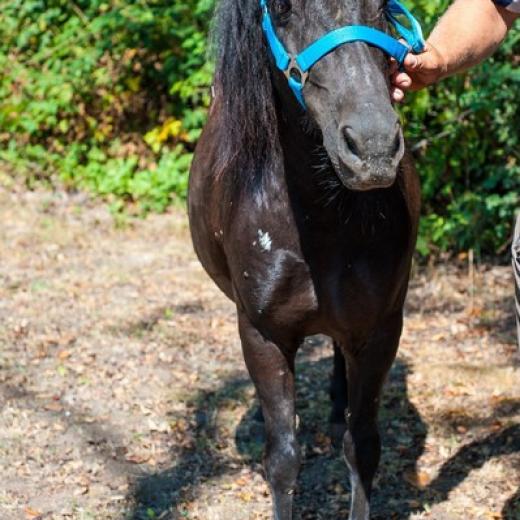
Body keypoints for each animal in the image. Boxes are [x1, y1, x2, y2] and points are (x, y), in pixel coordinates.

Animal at [189, 0, 420, 516]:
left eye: (382, 7)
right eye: (282, 8)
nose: (373, 148)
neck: (320, 220)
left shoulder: (380, 331)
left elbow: (363, 446)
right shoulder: (263, 336)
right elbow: (282, 459)